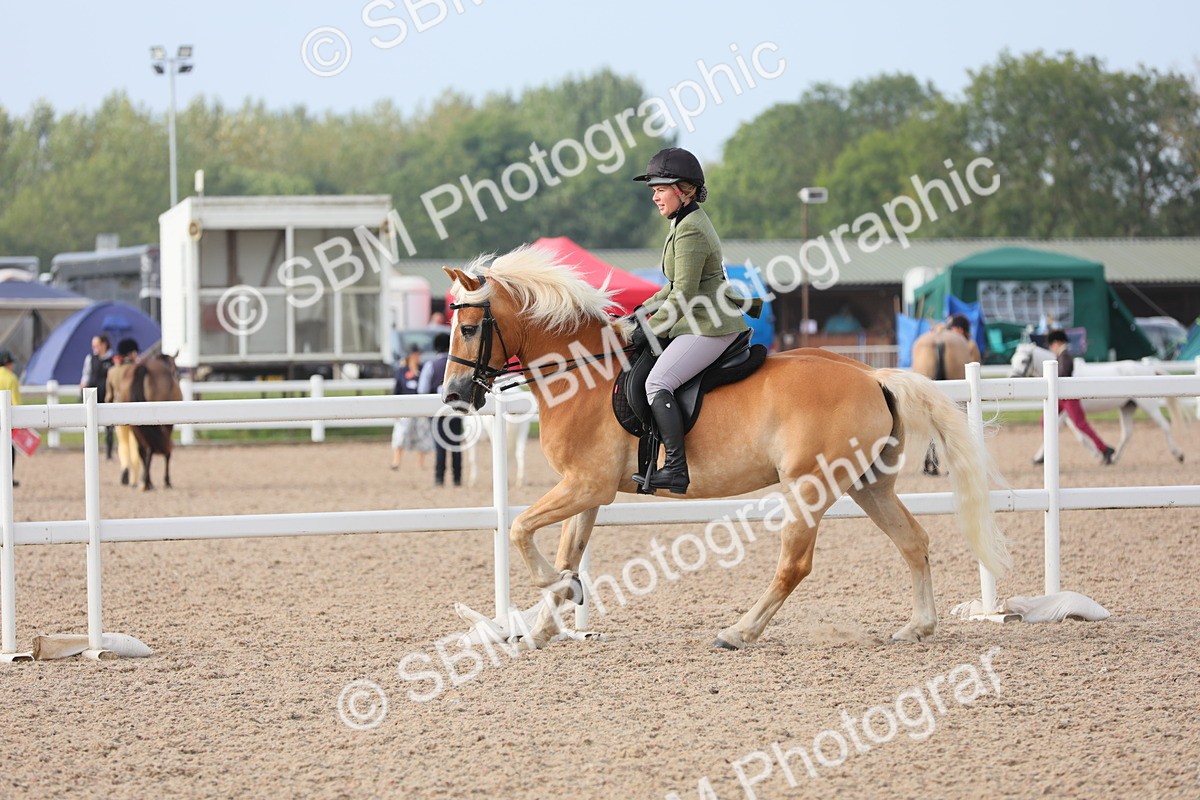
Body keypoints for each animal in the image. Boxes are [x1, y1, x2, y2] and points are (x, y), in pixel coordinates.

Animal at [123, 351, 183, 490]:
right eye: (176, 370)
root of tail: (143, 368)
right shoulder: (168, 424)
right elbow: (167, 450)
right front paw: (167, 480)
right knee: (151, 448)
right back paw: (147, 482)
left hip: (135, 425)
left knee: (141, 449)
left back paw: (147, 481)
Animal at [1009, 342, 1187, 463]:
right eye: (1012, 360)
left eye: (1024, 360)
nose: (1013, 378)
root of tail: (1148, 368)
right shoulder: (1066, 413)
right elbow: (1079, 434)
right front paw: (1099, 454)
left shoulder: (1067, 410)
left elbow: (1069, 429)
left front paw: (1039, 458)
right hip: (1127, 407)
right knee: (1127, 433)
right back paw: (1114, 458)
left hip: (1149, 406)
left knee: (1164, 426)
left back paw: (1178, 454)